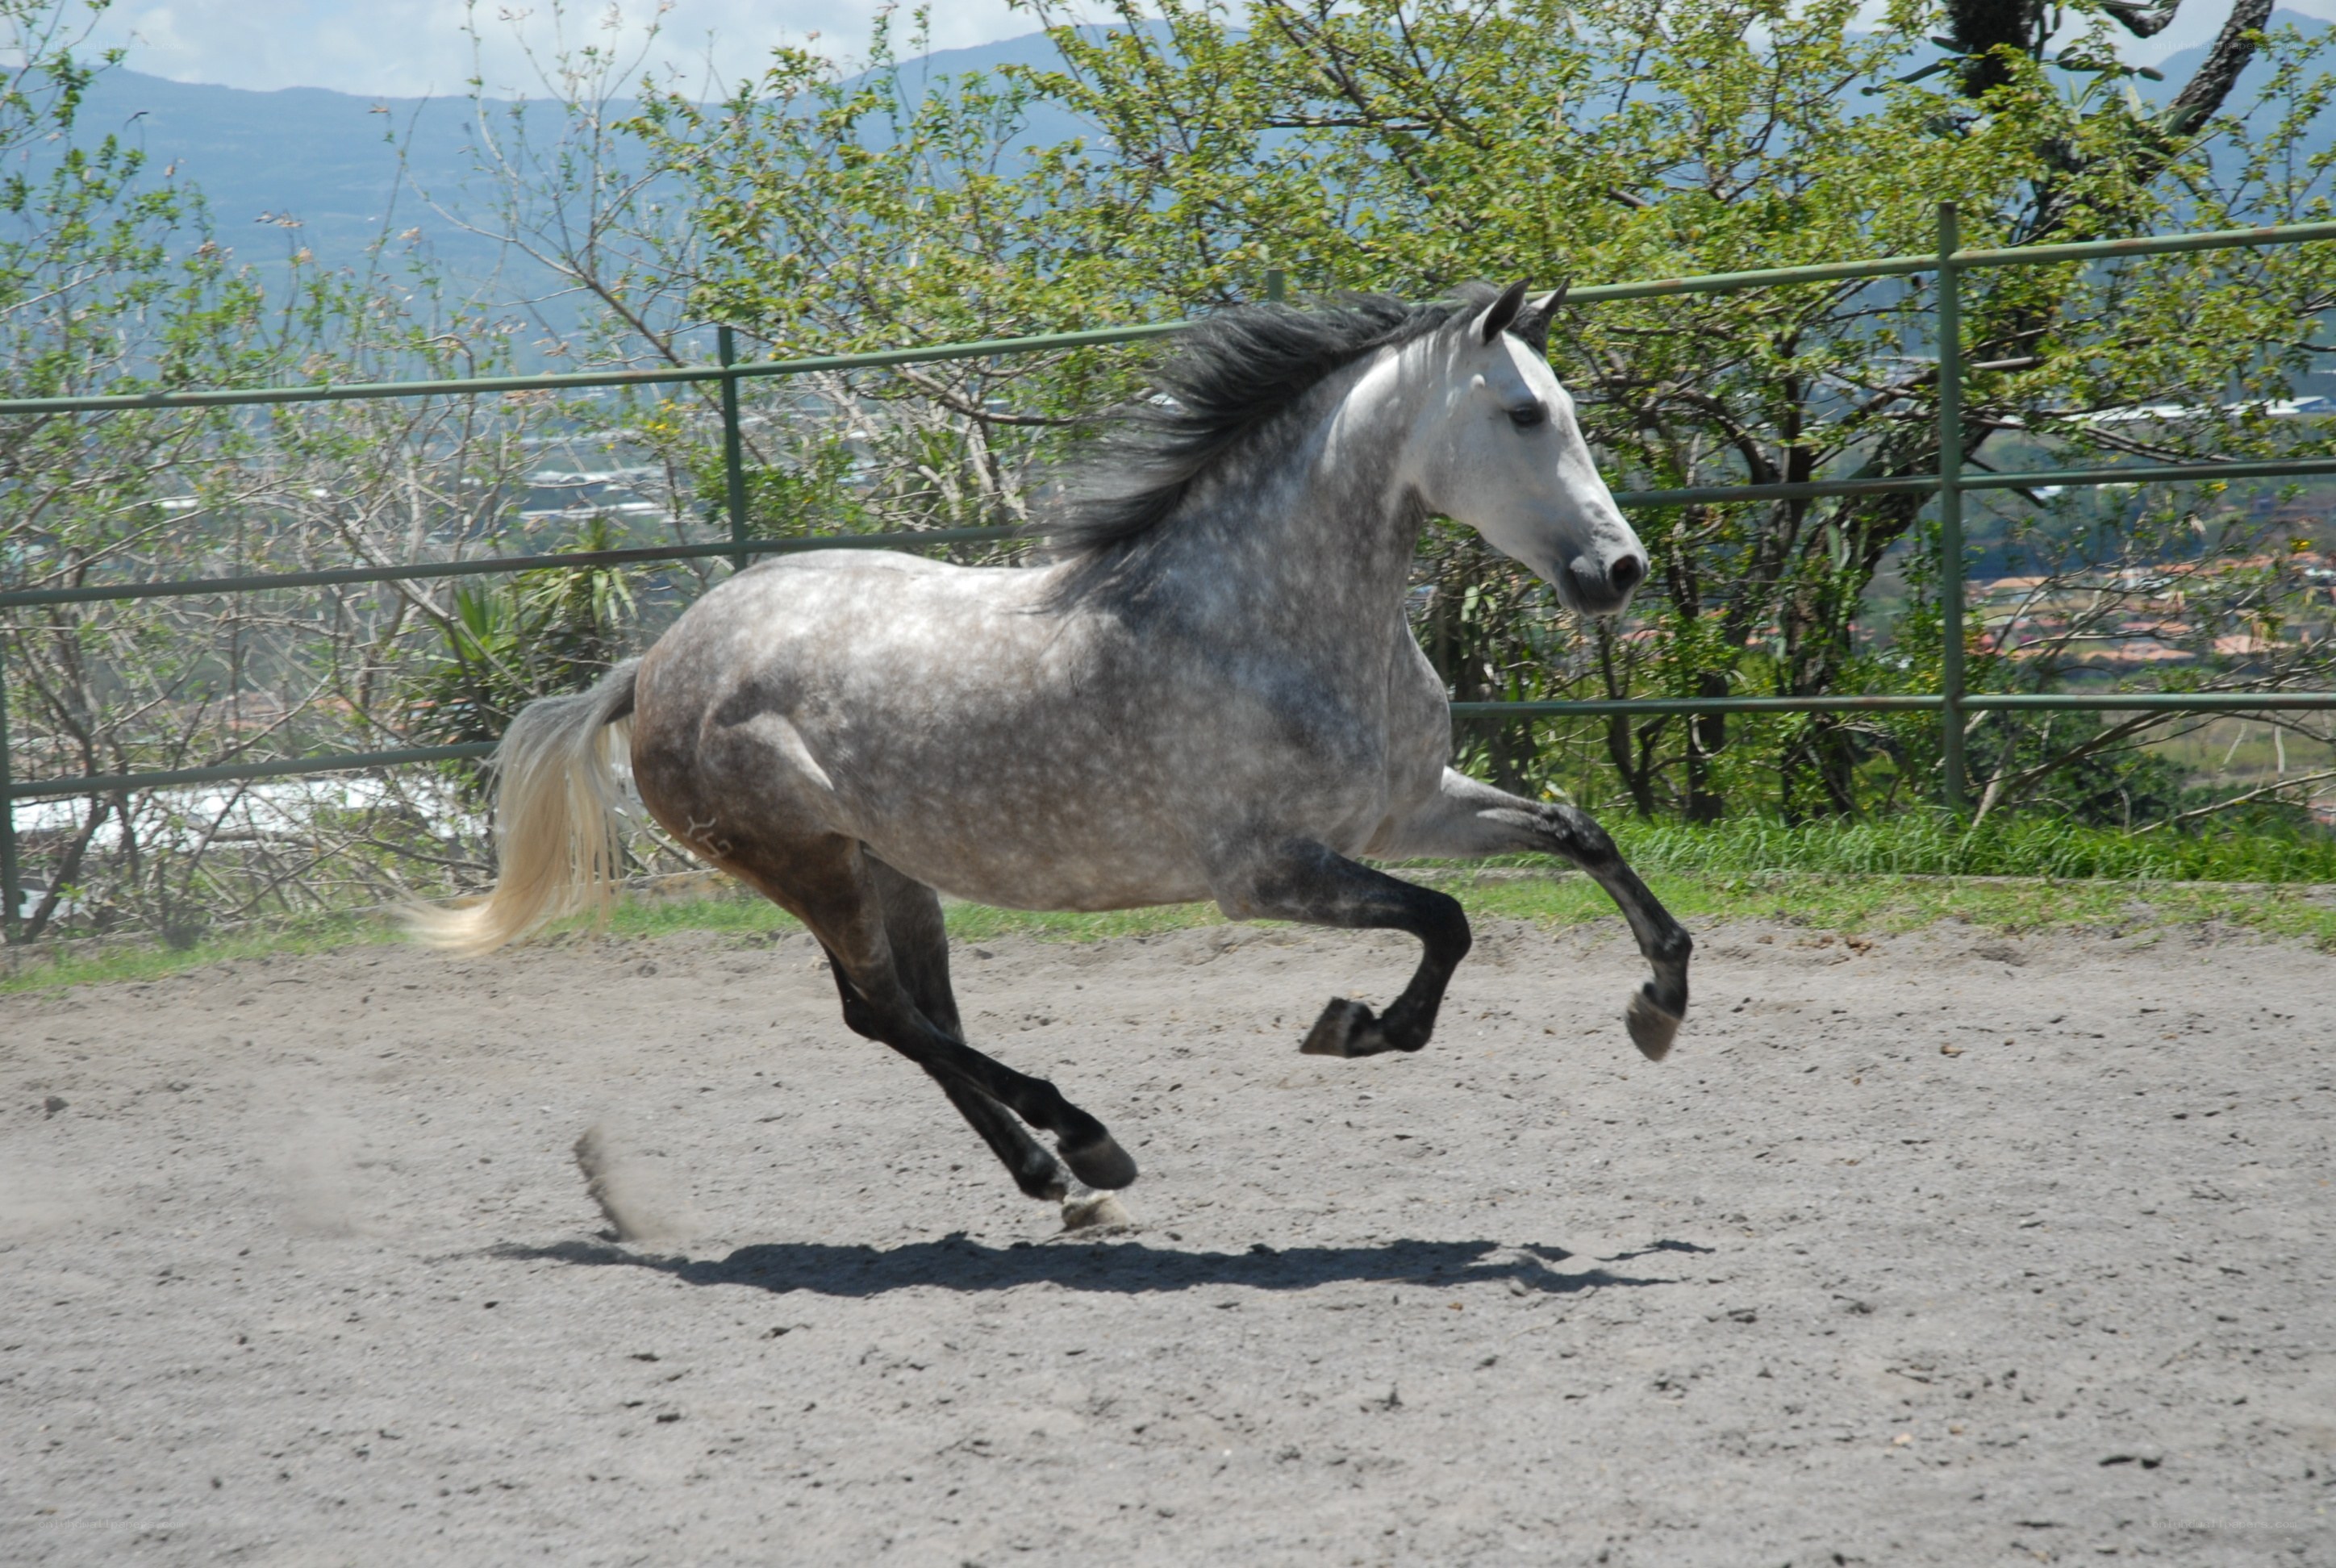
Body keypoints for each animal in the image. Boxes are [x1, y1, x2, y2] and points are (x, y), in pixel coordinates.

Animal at [410, 279, 1693, 1229]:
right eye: (1524, 415)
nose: (1618, 570)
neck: (1260, 619)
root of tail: (656, 662)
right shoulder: (1266, 872)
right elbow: (1446, 923)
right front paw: (1358, 1028)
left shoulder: (1407, 809)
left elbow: (1577, 834)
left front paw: (1660, 1001)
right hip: (805, 864)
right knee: (890, 1015)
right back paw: (1086, 1144)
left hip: (884, 865)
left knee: (900, 1014)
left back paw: (1056, 1179)